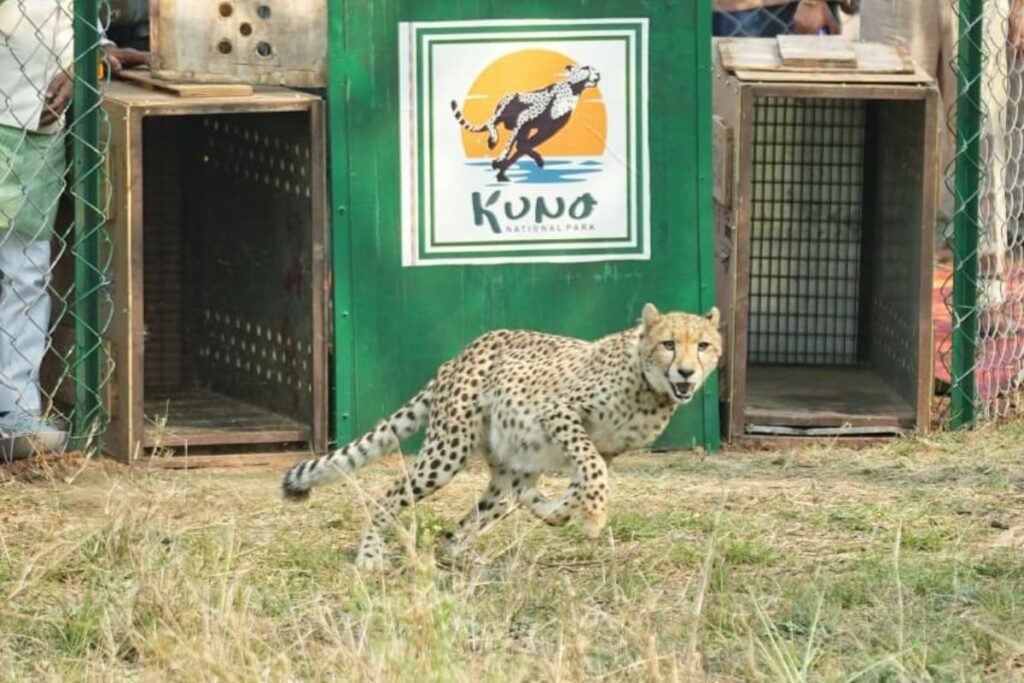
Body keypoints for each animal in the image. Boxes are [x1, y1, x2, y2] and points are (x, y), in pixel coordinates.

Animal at [280, 303, 722, 570]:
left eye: (703, 345)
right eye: (668, 344)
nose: (686, 372)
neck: (650, 389)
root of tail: (462, 353)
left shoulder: (606, 448)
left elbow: (581, 481)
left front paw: (564, 510)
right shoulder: (559, 413)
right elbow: (590, 469)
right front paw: (594, 515)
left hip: (509, 462)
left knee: (486, 509)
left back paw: (465, 552)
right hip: (446, 452)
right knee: (390, 493)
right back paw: (371, 554)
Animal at [450, 64, 601, 182]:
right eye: (586, 68)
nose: (599, 73)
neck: (574, 90)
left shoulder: (549, 128)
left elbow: (524, 146)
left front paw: (503, 167)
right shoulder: (523, 118)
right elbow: (510, 144)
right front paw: (500, 159)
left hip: (524, 128)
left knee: (518, 141)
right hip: (507, 108)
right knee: (490, 123)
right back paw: (493, 140)